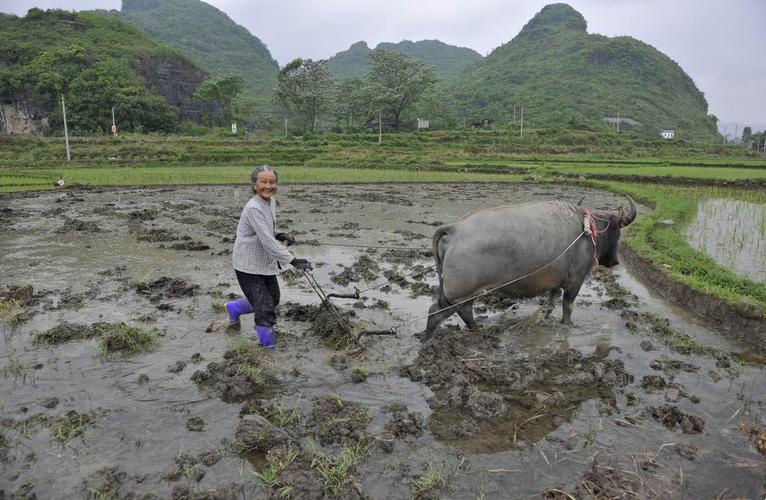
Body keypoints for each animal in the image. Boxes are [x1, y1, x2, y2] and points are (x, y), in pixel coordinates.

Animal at [424, 196, 640, 340]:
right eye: (617, 232)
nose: (615, 262)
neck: (586, 230)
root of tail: (453, 229)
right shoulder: (576, 280)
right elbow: (567, 306)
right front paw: (568, 325)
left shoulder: (556, 281)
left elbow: (551, 303)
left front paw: (544, 317)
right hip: (460, 294)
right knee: (441, 312)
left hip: (462, 295)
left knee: (456, 312)